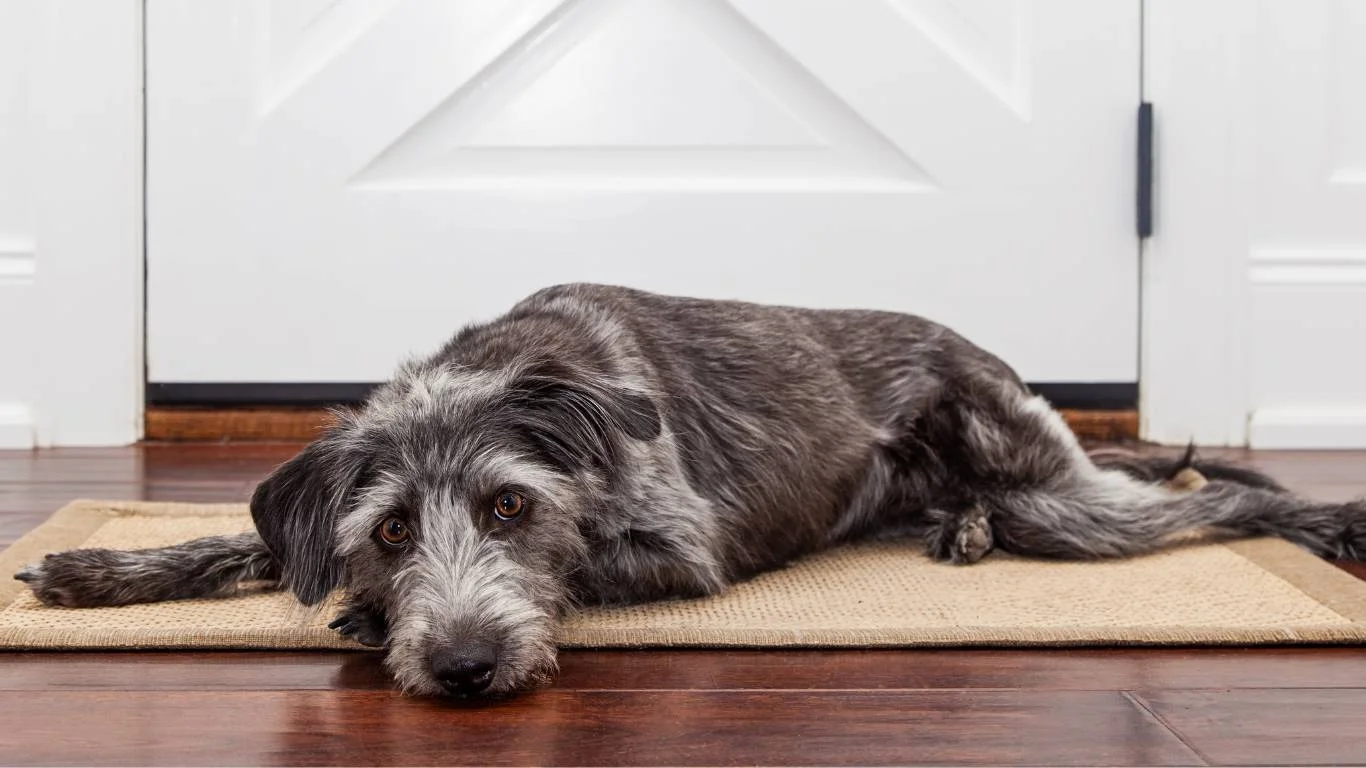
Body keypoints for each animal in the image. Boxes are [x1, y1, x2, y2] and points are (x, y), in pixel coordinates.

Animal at [13, 284, 1366, 696]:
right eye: (392, 529)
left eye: (510, 509)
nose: (464, 670)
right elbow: (244, 544)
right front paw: (93, 570)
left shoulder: (679, 549)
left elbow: (592, 562)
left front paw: (358, 619)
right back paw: (962, 528)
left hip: (1057, 492)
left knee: (1215, 503)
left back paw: (1327, 520)